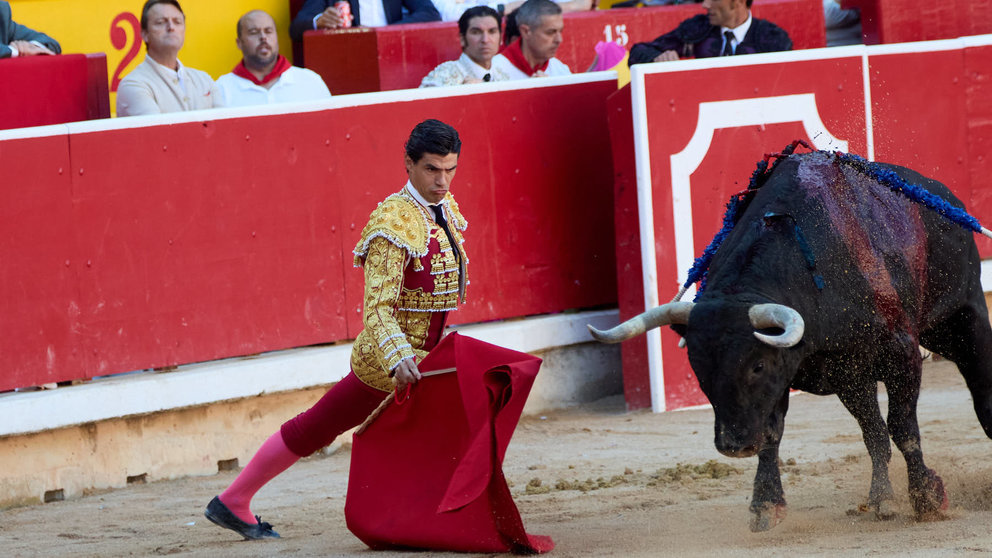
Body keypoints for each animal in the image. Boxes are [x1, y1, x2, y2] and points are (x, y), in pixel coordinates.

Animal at [592, 152, 992, 532]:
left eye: (756, 364)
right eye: (698, 369)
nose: (733, 446)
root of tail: (945, 195)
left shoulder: (901, 353)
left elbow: (903, 427)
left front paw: (928, 498)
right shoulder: (805, 371)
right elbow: (774, 434)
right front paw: (765, 506)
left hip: (963, 319)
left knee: (979, 394)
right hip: (855, 378)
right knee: (873, 434)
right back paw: (880, 501)